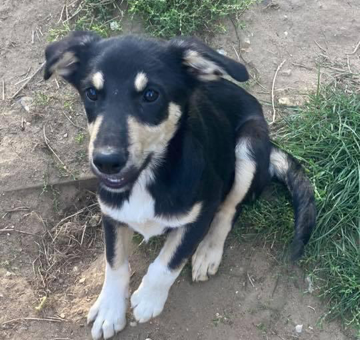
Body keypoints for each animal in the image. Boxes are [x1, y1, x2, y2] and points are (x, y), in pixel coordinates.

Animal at [43, 30, 316, 338]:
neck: (148, 177)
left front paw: (148, 300)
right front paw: (110, 309)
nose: (106, 162)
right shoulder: (111, 213)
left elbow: (169, 262)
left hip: (249, 144)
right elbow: (114, 262)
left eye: (151, 95)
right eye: (91, 93)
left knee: (230, 209)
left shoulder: (201, 212)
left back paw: (208, 252)